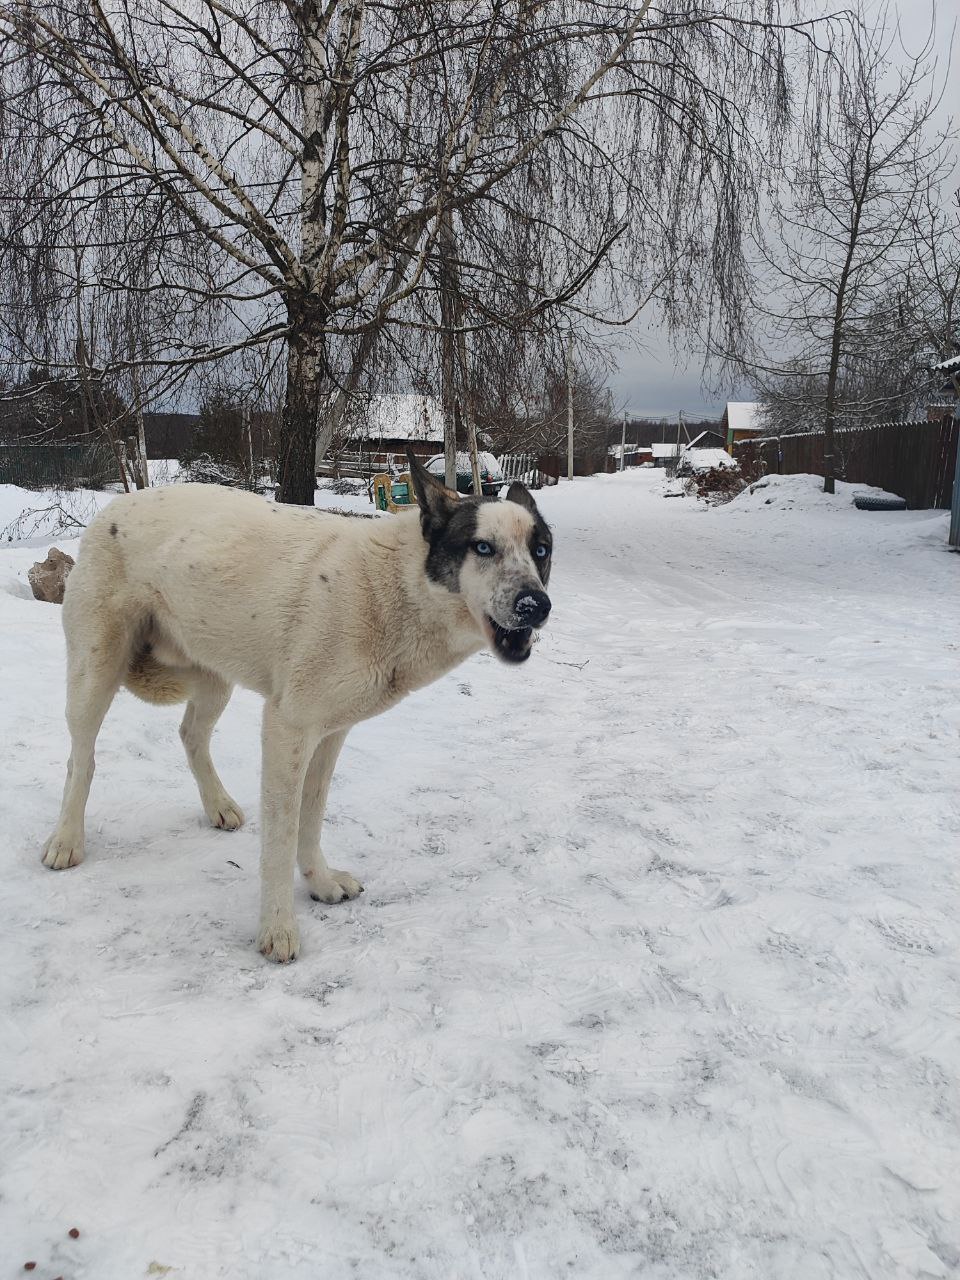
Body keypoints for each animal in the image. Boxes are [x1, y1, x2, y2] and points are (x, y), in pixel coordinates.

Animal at [41, 450, 553, 962]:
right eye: (482, 548)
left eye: (542, 550)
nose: (536, 606)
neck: (395, 588)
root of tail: (113, 507)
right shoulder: (287, 730)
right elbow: (282, 838)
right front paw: (277, 929)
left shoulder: (329, 735)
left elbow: (311, 819)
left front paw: (320, 883)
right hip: (95, 675)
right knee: (80, 760)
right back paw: (65, 840)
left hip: (214, 677)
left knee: (190, 736)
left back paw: (218, 805)